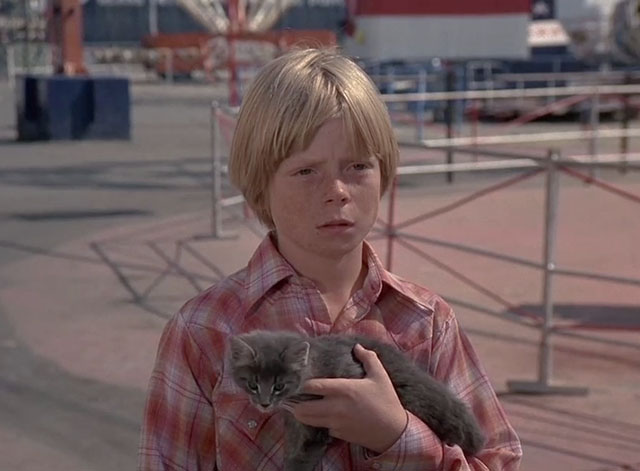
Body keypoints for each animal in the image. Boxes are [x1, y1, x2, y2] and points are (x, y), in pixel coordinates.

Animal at [230, 330, 484, 470]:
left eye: (279, 386)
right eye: (252, 384)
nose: (264, 403)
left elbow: (302, 456)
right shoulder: (296, 424)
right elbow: (294, 448)